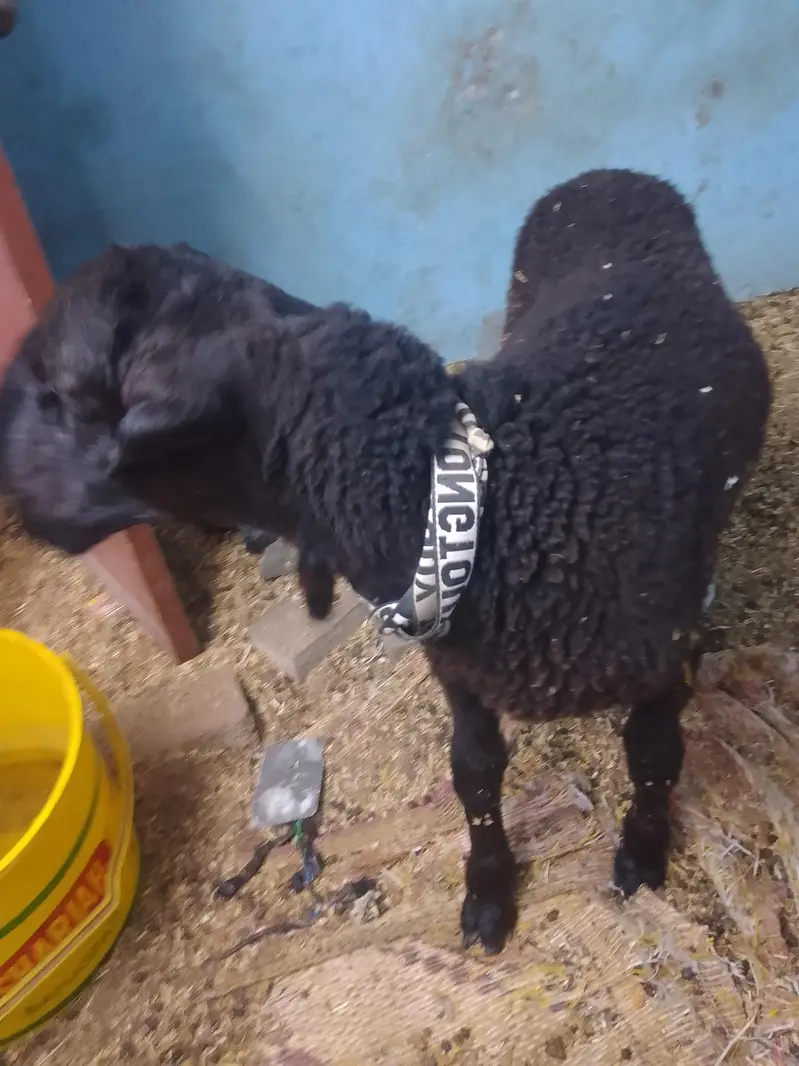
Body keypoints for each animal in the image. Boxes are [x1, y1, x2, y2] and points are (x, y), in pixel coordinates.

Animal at [0, 169, 771, 955]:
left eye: (56, 392)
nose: (18, 496)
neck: (492, 501)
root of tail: (610, 176)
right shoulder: (459, 672)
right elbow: (474, 777)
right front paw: (486, 895)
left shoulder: (666, 660)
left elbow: (654, 758)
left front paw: (642, 855)